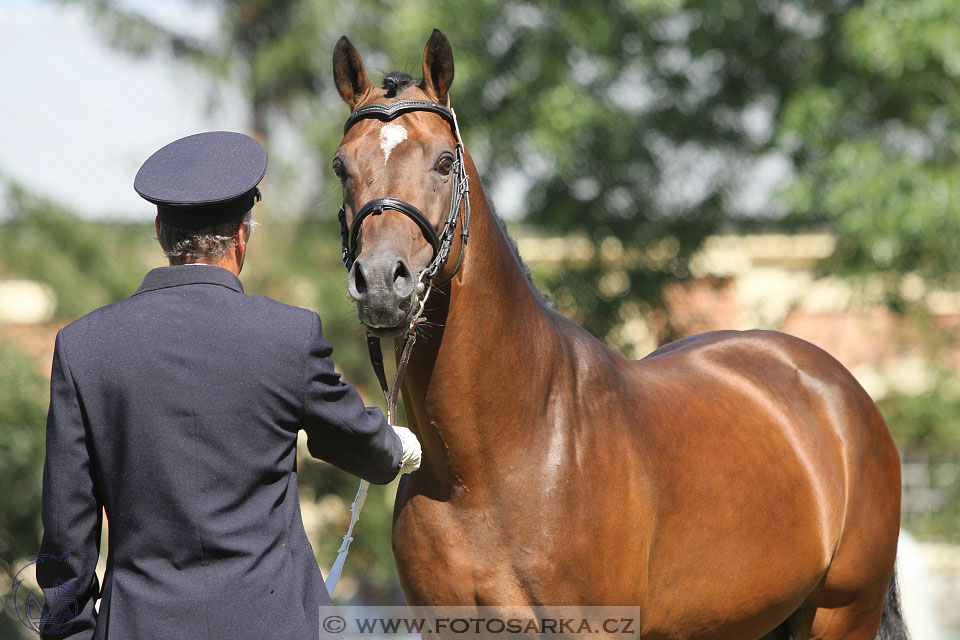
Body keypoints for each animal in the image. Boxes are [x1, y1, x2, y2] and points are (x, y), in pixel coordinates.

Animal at [330, 27, 908, 636]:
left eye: (444, 162)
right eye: (342, 167)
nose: (380, 282)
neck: (492, 461)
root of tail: (839, 390)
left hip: (843, 614)